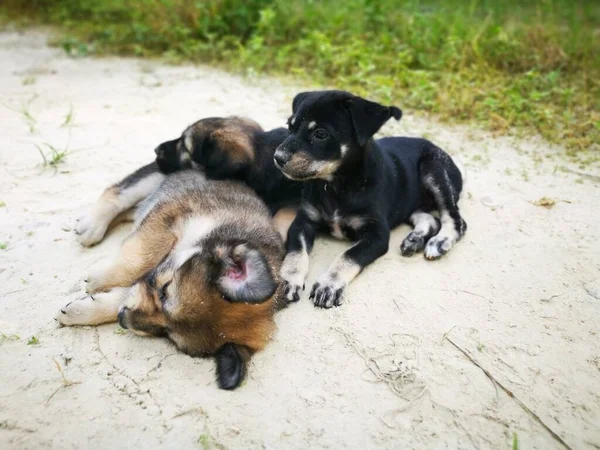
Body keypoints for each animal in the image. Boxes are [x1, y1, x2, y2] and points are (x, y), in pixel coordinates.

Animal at [57, 172, 288, 390]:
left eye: (167, 333)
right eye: (164, 290)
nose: (122, 319)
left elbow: (128, 290)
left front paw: (83, 310)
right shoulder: (173, 213)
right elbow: (142, 257)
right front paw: (98, 279)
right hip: (153, 180)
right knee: (118, 193)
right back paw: (92, 225)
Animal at [274, 91, 466, 310]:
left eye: (321, 134)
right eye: (290, 126)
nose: (277, 157)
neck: (338, 185)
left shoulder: (377, 234)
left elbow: (348, 256)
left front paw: (329, 284)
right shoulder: (303, 221)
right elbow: (296, 251)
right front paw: (287, 279)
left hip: (434, 170)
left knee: (455, 219)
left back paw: (440, 241)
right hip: (409, 202)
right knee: (430, 218)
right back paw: (414, 240)